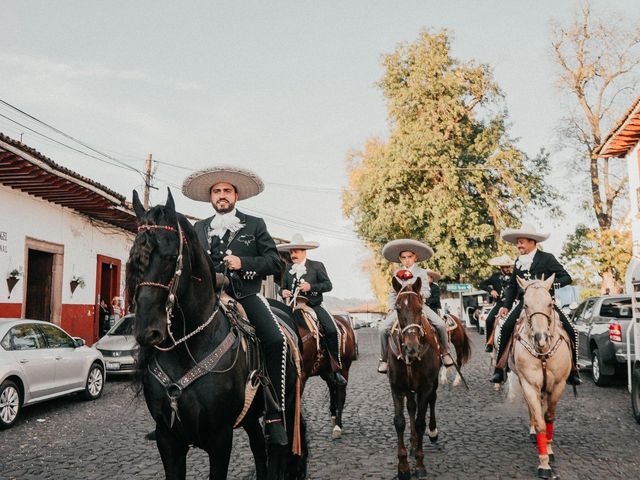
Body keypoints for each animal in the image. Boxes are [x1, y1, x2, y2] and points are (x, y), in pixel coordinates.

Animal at [127, 189, 308, 478]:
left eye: (170, 257)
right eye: (135, 257)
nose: (147, 331)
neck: (186, 350)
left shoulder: (219, 438)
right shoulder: (168, 439)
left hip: (288, 404)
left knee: (278, 452)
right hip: (250, 417)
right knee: (259, 448)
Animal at [384, 278, 440, 480]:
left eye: (420, 307)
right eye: (398, 308)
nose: (411, 347)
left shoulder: (426, 387)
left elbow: (420, 422)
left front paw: (420, 464)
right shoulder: (396, 387)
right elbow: (400, 421)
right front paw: (403, 467)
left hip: (433, 383)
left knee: (432, 401)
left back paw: (433, 432)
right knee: (411, 408)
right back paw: (413, 443)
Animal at [508, 274, 572, 480]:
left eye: (550, 304)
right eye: (526, 305)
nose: (541, 338)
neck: (543, 352)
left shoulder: (558, 385)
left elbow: (549, 418)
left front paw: (550, 452)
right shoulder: (529, 384)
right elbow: (540, 423)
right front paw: (544, 464)